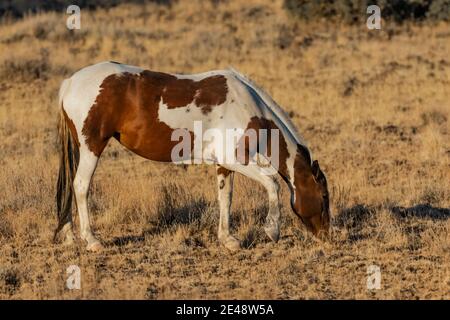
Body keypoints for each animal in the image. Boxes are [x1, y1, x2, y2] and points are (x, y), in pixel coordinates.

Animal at [56, 60, 330, 250]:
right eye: (324, 196)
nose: (327, 235)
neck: (248, 107)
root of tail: (70, 82)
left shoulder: (224, 164)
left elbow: (225, 198)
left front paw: (228, 239)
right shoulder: (236, 159)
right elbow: (273, 184)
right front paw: (272, 231)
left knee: (70, 187)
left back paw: (69, 234)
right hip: (92, 147)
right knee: (81, 186)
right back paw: (92, 240)